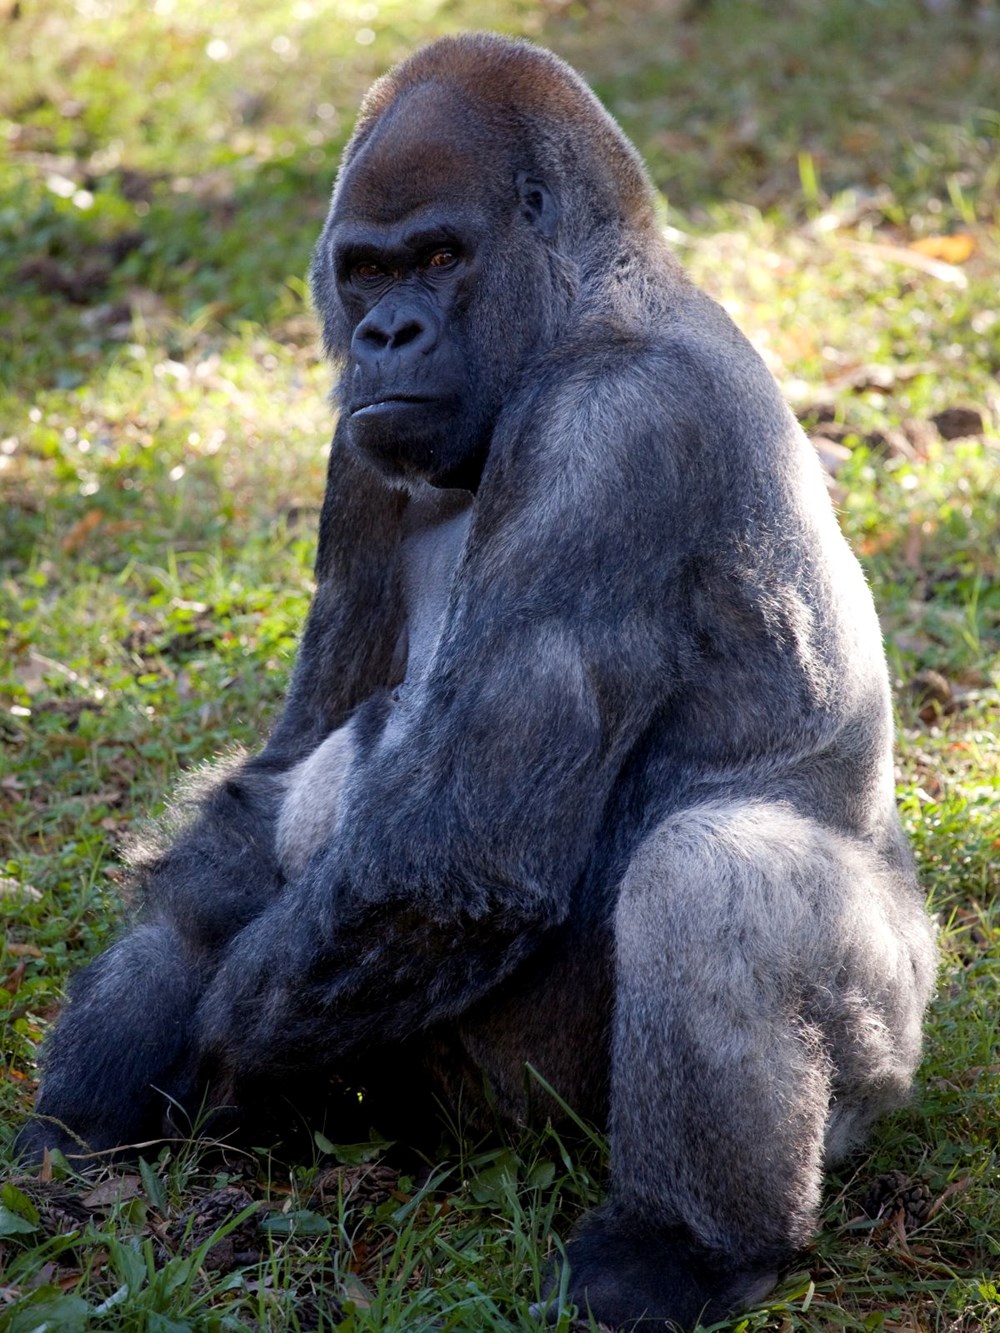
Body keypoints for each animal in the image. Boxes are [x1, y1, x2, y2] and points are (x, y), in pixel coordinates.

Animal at [17, 31, 938, 1333]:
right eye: (364, 272)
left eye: (442, 258)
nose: (386, 337)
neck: (590, 301)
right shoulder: (359, 448)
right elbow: (279, 776)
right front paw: (117, 1047)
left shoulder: (612, 432)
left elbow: (452, 857)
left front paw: (209, 1057)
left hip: (877, 1048)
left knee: (715, 866)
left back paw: (687, 1248)